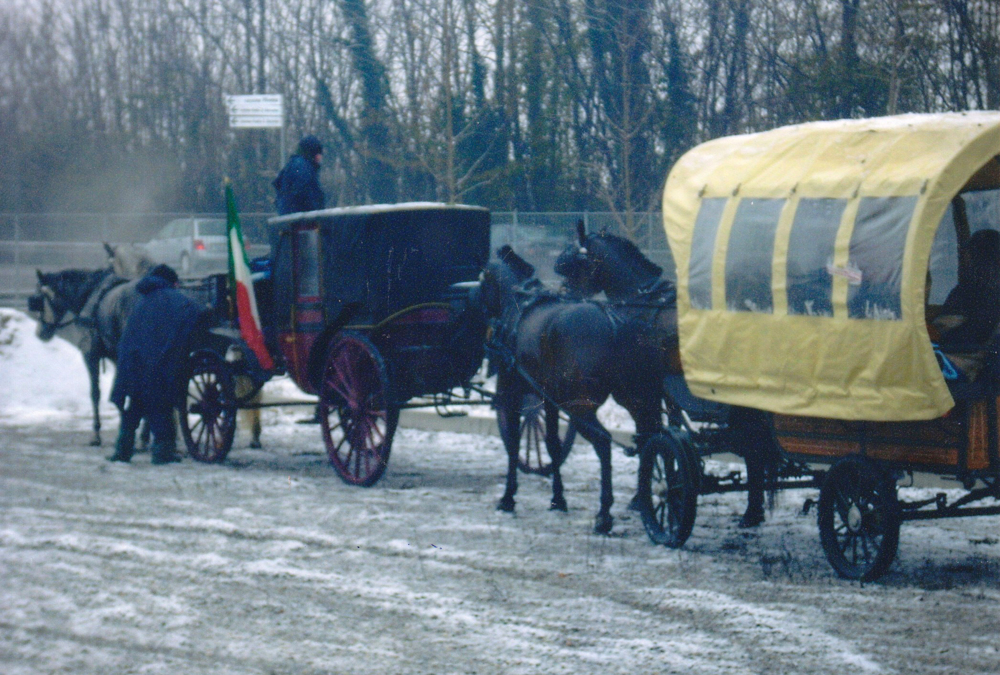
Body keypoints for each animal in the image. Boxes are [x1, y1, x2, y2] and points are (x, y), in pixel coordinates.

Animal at [480, 246, 668, 536]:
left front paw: (508, 497)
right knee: (649, 438)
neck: (518, 305)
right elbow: (552, 445)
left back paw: (604, 514)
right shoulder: (549, 400)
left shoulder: (510, 393)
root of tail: (614, 322)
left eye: (482, 280)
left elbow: (513, 444)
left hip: (580, 406)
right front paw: (558, 498)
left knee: (603, 442)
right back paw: (645, 498)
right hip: (638, 399)